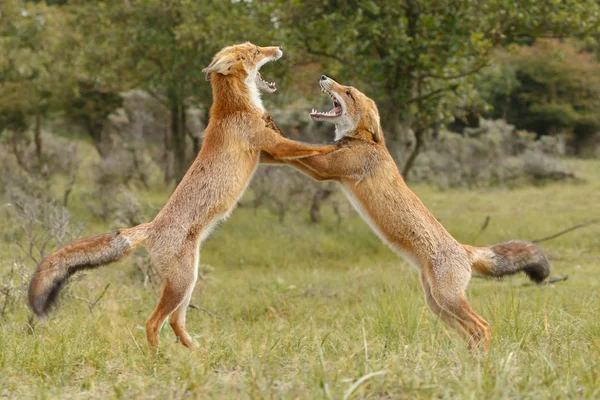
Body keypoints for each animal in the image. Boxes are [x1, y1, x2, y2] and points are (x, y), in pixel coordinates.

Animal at [28, 43, 338, 348]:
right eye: (255, 52)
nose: (279, 47)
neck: (235, 107)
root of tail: (150, 227)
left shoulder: (266, 155)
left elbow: (300, 152)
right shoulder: (271, 145)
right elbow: (308, 146)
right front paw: (336, 146)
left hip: (190, 280)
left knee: (176, 323)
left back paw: (197, 353)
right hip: (182, 283)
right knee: (153, 322)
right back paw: (158, 357)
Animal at [264, 76, 552, 350]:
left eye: (349, 93)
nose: (324, 76)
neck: (364, 142)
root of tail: (463, 248)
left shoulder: (327, 169)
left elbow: (294, 149)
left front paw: (271, 132)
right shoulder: (327, 169)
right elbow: (293, 152)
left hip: (447, 299)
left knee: (483, 326)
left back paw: (485, 363)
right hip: (437, 305)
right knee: (472, 334)